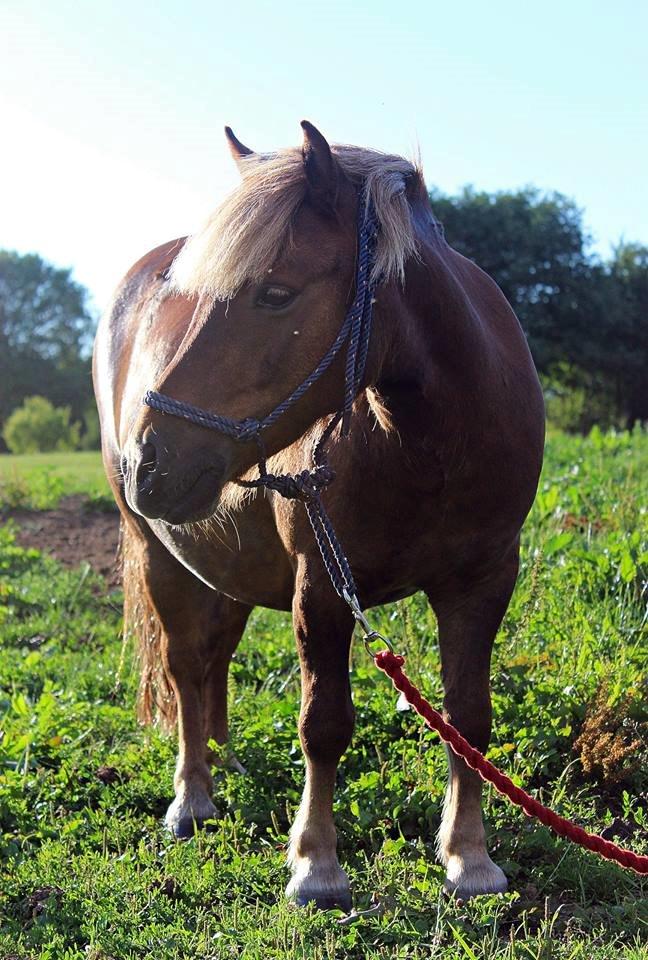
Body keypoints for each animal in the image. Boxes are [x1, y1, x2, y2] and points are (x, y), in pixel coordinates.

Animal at [93, 122, 544, 908]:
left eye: (276, 293)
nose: (150, 460)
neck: (431, 443)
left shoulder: (485, 579)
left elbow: (468, 716)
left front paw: (469, 857)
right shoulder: (323, 588)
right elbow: (324, 723)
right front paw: (317, 865)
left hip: (229, 566)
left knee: (216, 658)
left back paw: (226, 765)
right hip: (159, 557)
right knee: (184, 667)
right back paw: (193, 796)